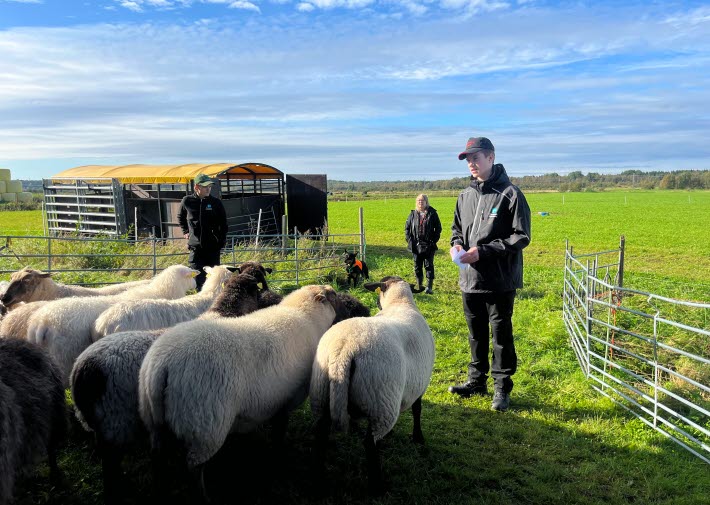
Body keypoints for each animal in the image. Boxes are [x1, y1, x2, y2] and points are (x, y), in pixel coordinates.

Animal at [312, 276, 440, 492]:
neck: (400, 303)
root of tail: (344, 351)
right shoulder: (419, 384)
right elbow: (417, 410)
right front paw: (418, 437)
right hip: (381, 402)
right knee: (370, 444)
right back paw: (377, 485)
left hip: (322, 395)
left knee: (320, 435)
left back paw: (320, 479)